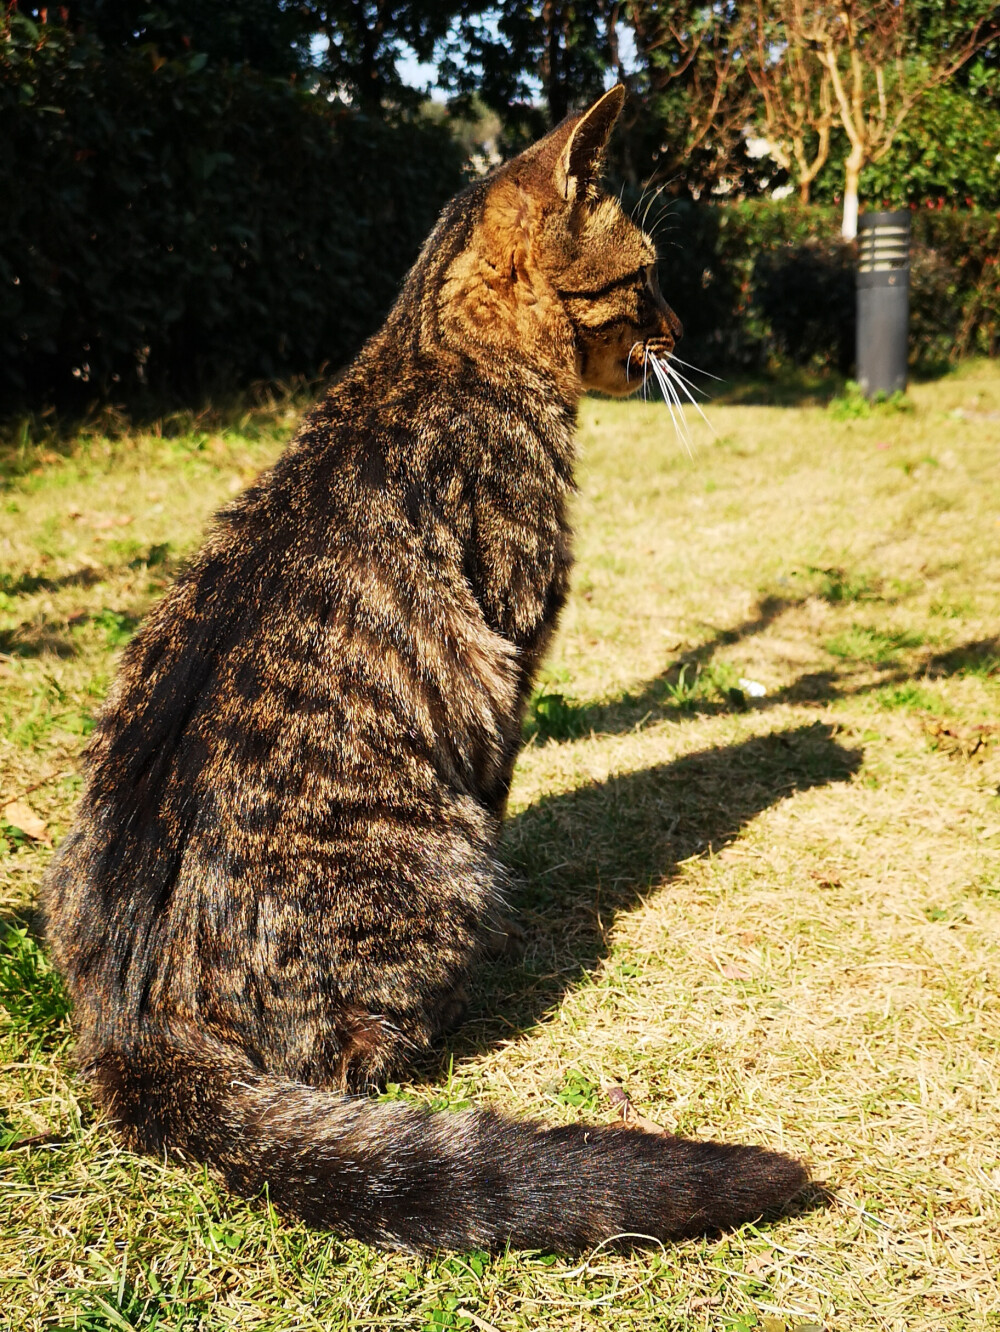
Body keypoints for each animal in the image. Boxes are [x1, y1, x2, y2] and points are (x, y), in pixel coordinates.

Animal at [42, 88, 809, 1252]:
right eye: (646, 278)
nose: (684, 333)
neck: (429, 351)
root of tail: (130, 1031)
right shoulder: (515, 653)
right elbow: (502, 786)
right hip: (437, 865)